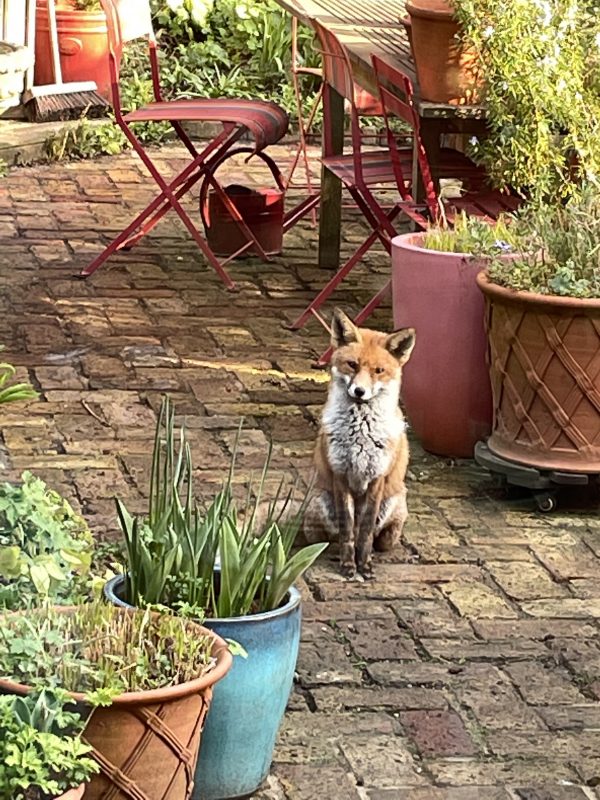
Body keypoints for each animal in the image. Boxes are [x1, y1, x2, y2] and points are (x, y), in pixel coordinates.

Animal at [302, 310, 414, 580]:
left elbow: (364, 532)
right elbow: (347, 531)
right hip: (321, 502)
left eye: (379, 370)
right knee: (326, 539)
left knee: (378, 538)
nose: (359, 391)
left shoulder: (376, 478)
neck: (360, 434)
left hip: (392, 508)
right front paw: (348, 566)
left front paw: (364, 565)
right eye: (352, 364)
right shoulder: (340, 474)